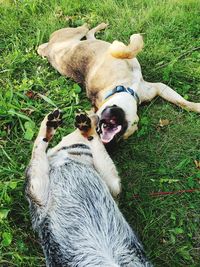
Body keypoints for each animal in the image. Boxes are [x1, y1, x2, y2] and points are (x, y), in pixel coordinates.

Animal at [38, 23, 200, 144]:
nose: (105, 138)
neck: (126, 89)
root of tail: (48, 50)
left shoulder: (157, 88)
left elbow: (182, 102)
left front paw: (196, 106)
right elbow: (126, 50)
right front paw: (132, 39)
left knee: (88, 33)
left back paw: (100, 26)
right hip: (74, 33)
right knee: (84, 28)